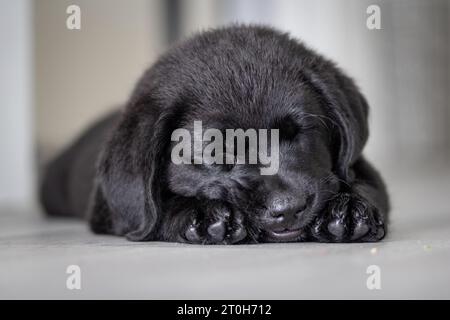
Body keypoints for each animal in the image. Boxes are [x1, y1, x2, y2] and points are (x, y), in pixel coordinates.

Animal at [40, 25, 388, 244]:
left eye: (301, 131)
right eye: (216, 152)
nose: (287, 208)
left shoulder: (361, 168)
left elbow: (367, 186)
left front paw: (347, 209)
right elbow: (157, 210)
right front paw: (201, 214)